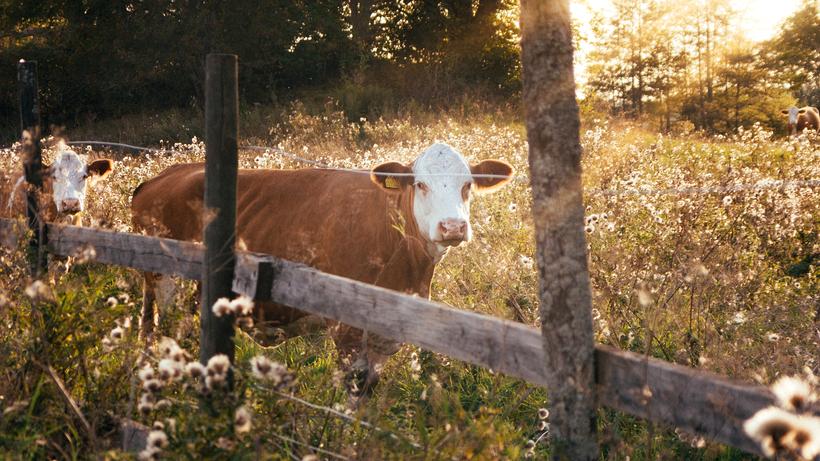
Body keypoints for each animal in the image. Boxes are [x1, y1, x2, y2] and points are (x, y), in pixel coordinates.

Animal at [132, 143, 512, 392]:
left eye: (467, 185)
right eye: (421, 185)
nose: (453, 227)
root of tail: (165, 175)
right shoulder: (346, 328)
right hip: (164, 283)